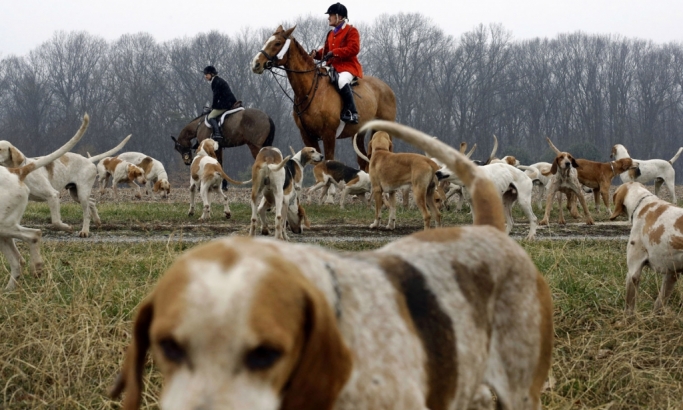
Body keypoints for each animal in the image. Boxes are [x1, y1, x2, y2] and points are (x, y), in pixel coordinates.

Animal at [251, 25, 396, 170]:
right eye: (266, 41)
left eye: (277, 43)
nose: (255, 64)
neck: (311, 90)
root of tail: (386, 87)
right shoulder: (307, 136)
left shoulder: (329, 135)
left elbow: (328, 161)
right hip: (359, 133)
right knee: (364, 161)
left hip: (384, 130)